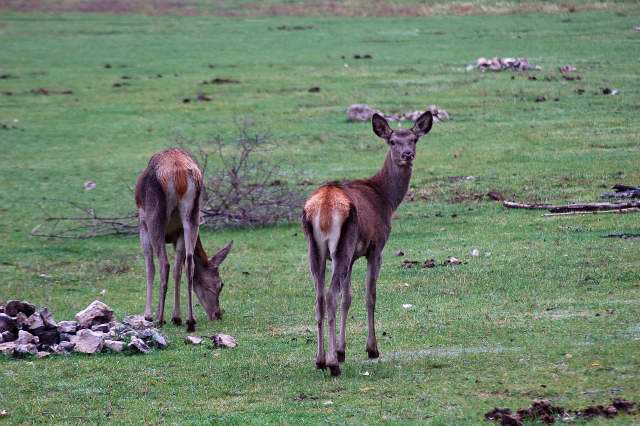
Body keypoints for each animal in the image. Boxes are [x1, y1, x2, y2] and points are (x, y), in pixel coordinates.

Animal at [135, 148, 232, 332]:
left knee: (164, 264)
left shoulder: (143, 225)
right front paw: (176, 317)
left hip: (154, 217)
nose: (217, 314)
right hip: (193, 215)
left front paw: (148, 315)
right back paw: (190, 320)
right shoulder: (178, 234)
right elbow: (178, 270)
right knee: (189, 262)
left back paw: (159, 318)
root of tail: (179, 174)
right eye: (221, 284)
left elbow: (150, 268)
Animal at [302, 110, 432, 376]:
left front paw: (342, 350)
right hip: (342, 245)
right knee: (330, 296)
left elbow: (348, 298)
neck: (386, 200)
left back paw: (320, 360)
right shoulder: (376, 247)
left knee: (319, 298)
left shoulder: (353, 256)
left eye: (414, 139)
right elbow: (370, 295)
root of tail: (323, 208)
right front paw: (371, 349)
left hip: (316, 249)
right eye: (392, 141)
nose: (407, 154)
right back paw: (332, 365)